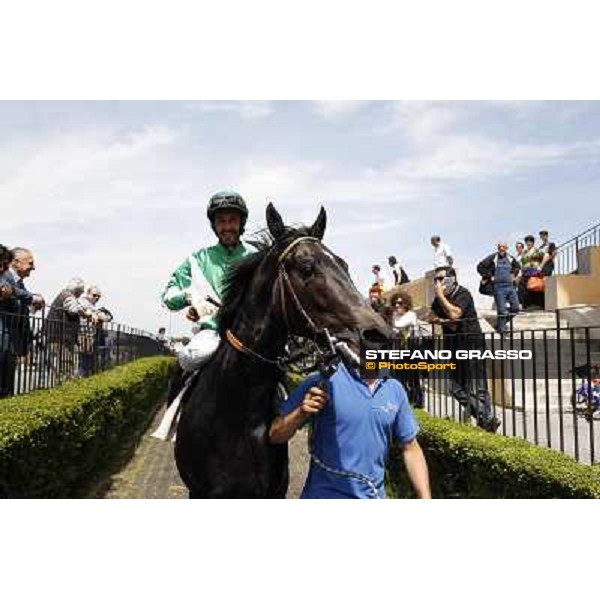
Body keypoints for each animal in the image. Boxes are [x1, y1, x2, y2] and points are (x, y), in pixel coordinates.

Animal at [173, 204, 390, 500]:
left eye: (343, 265)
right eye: (307, 267)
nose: (379, 337)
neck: (237, 417)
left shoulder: (274, 491)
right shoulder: (201, 492)